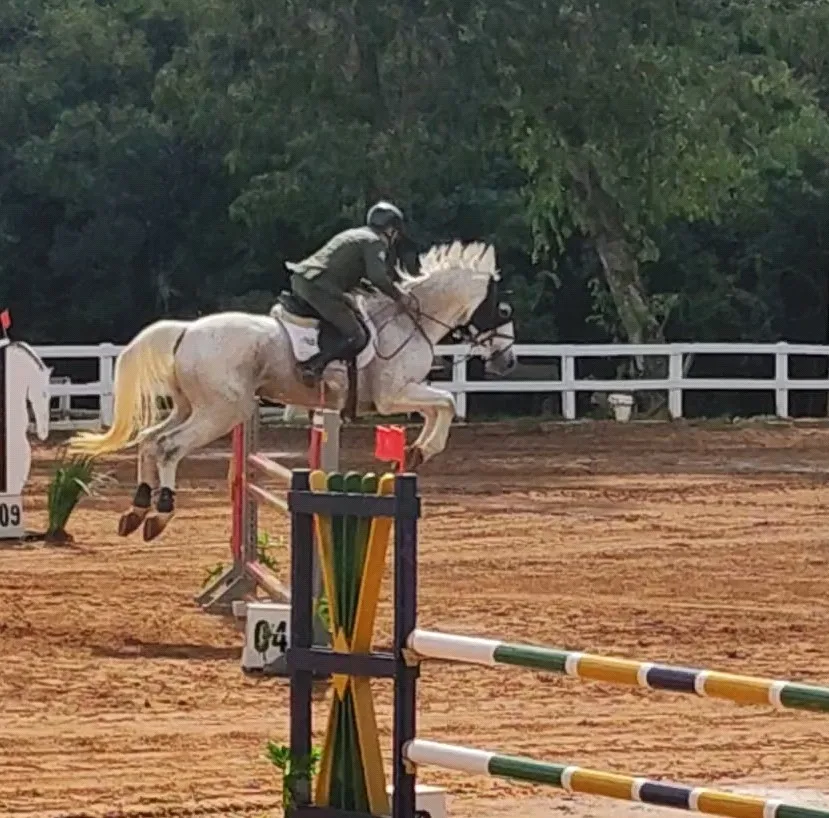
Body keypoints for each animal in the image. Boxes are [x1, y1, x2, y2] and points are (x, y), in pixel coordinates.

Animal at [67, 240, 517, 541]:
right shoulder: (394, 395)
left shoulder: (400, 394)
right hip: (221, 412)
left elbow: (438, 407)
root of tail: (186, 331)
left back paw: (136, 510)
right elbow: (447, 402)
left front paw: (417, 450)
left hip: (188, 406)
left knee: (148, 440)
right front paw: (423, 449)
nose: (507, 362)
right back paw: (160, 514)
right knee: (168, 447)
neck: (410, 320)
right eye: (503, 309)